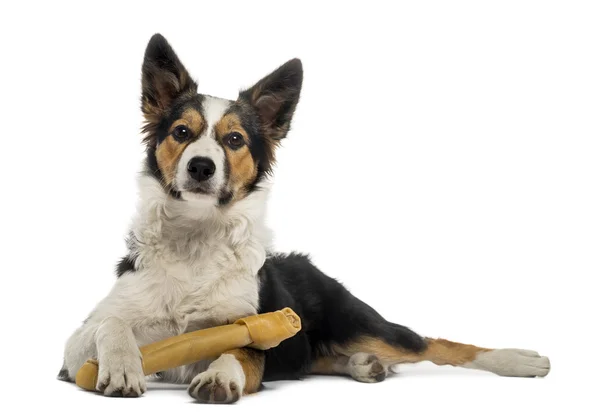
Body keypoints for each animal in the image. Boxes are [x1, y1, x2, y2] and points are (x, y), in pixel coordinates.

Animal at [58, 33, 552, 404]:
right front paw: (123, 365)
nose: (201, 167)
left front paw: (220, 376)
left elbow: (237, 353)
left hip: (359, 321)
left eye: (234, 140)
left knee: (435, 343)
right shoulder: (76, 348)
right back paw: (364, 366)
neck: (196, 238)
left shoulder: (249, 332)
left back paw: (519, 359)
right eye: (182, 132)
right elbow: (109, 325)